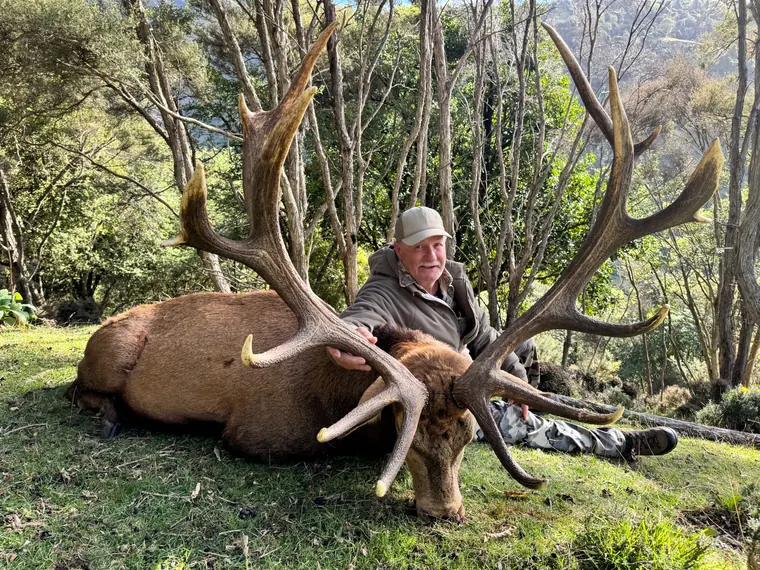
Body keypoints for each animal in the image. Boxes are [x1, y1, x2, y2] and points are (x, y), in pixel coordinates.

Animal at [66, 22, 723, 521]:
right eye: (404, 432)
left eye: (467, 434)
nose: (445, 511)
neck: (336, 396)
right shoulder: (257, 434)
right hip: (108, 351)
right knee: (80, 389)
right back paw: (110, 418)